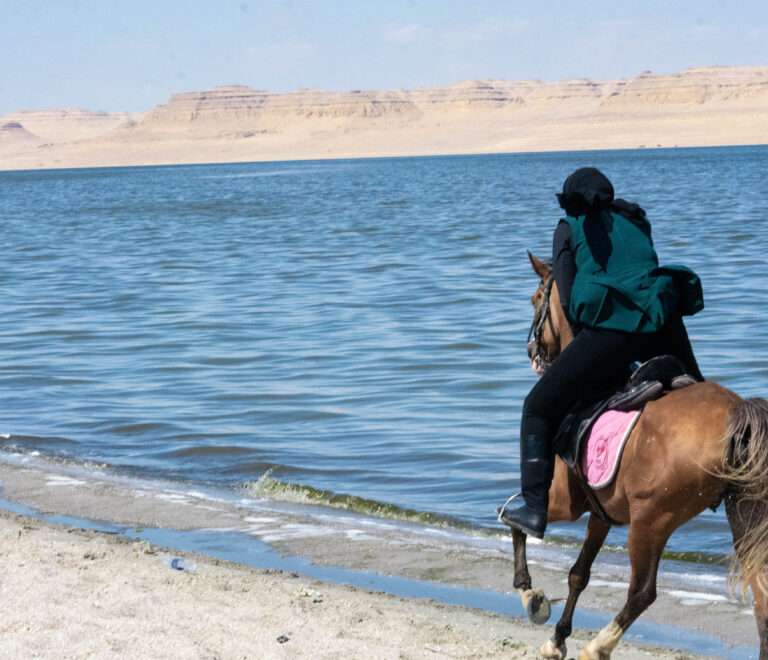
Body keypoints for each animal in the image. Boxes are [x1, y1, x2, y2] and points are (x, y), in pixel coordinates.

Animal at [510, 254, 768, 660]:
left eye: (536, 298)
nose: (533, 353)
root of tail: (739, 413)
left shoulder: (563, 501)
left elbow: (517, 522)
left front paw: (531, 598)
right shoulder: (599, 514)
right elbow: (579, 573)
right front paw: (556, 639)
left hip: (651, 520)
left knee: (643, 592)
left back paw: (598, 646)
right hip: (742, 517)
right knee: (761, 597)